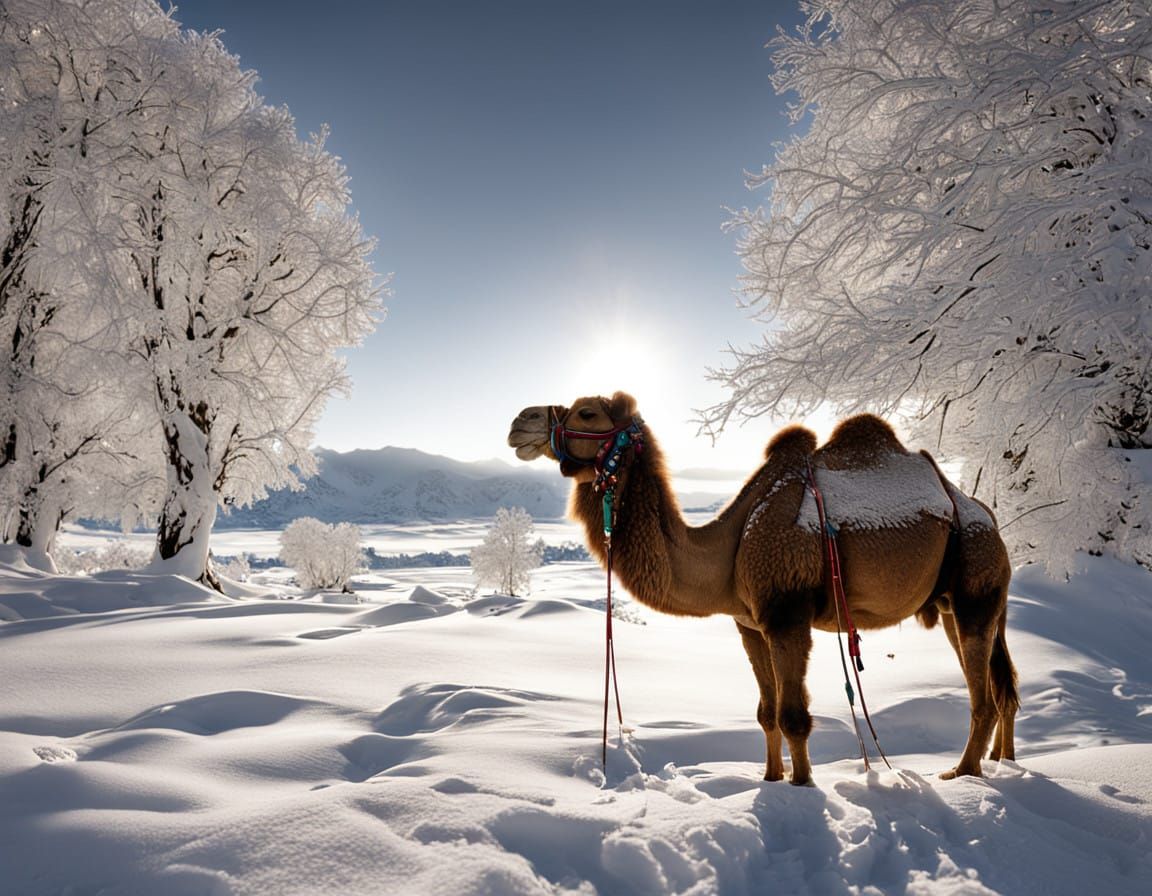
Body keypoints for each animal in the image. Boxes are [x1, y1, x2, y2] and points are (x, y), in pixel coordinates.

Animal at [507, 391, 1018, 785]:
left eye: (587, 412)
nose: (519, 421)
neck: (731, 544)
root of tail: (986, 515)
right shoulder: (749, 623)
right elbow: (766, 712)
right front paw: (770, 781)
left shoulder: (786, 613)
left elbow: (793, 714)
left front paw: (803, 785)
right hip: (963, 601)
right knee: (1001, 682)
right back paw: (1002, 761)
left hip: (975, 582)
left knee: (984, 697)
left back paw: (964, 774)